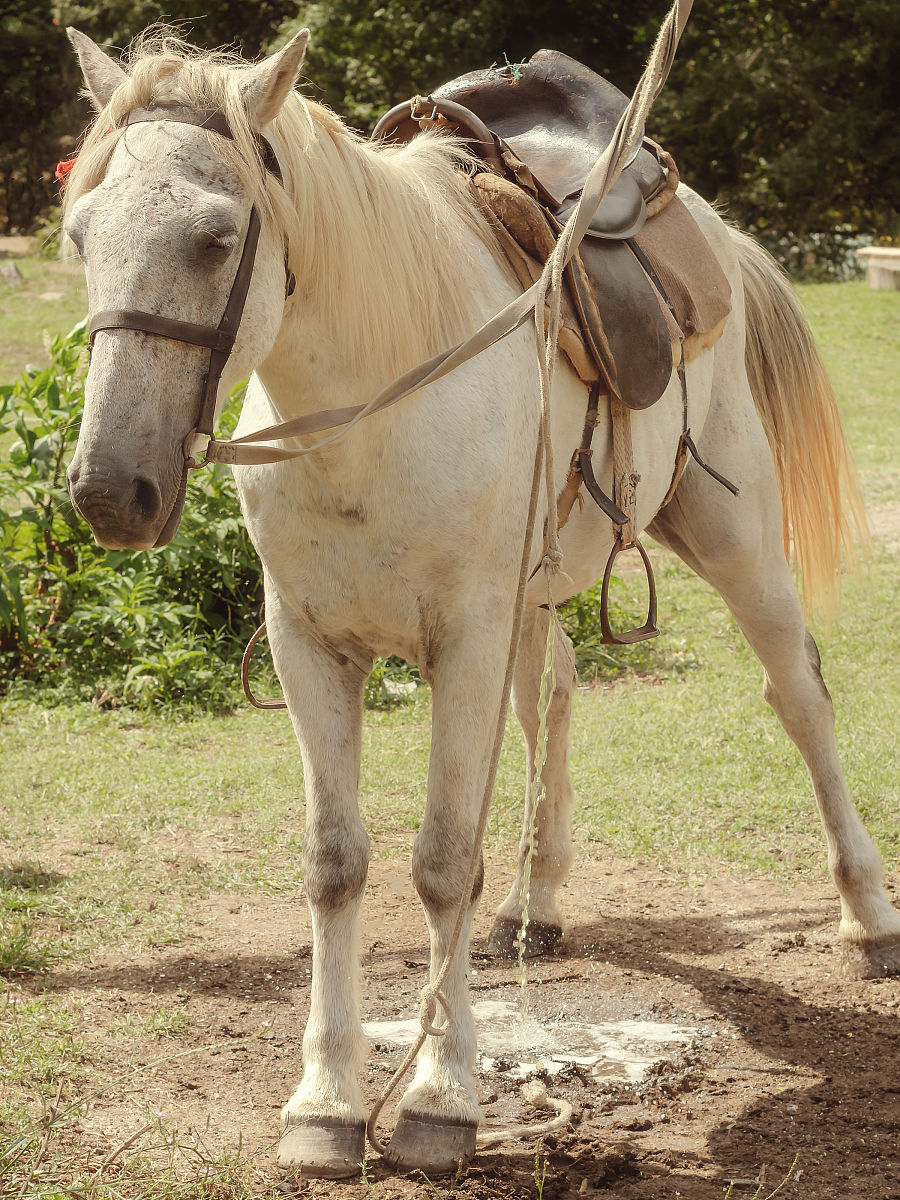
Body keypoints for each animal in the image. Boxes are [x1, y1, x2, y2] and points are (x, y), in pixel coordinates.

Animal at [61, 26, 900, 1178]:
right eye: (79, 234)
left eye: (215, 237)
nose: (111, 490)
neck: (371, 414)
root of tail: (717, 233)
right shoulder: (310, 648)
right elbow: (336, 865)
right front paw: (327, 1103)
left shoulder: (462, 641)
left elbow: (442, 861)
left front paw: (437, 1099)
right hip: (534, 597)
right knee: (556, 696)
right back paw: (533, 909)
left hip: (731, 536)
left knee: (801, 696)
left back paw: (869, 917)